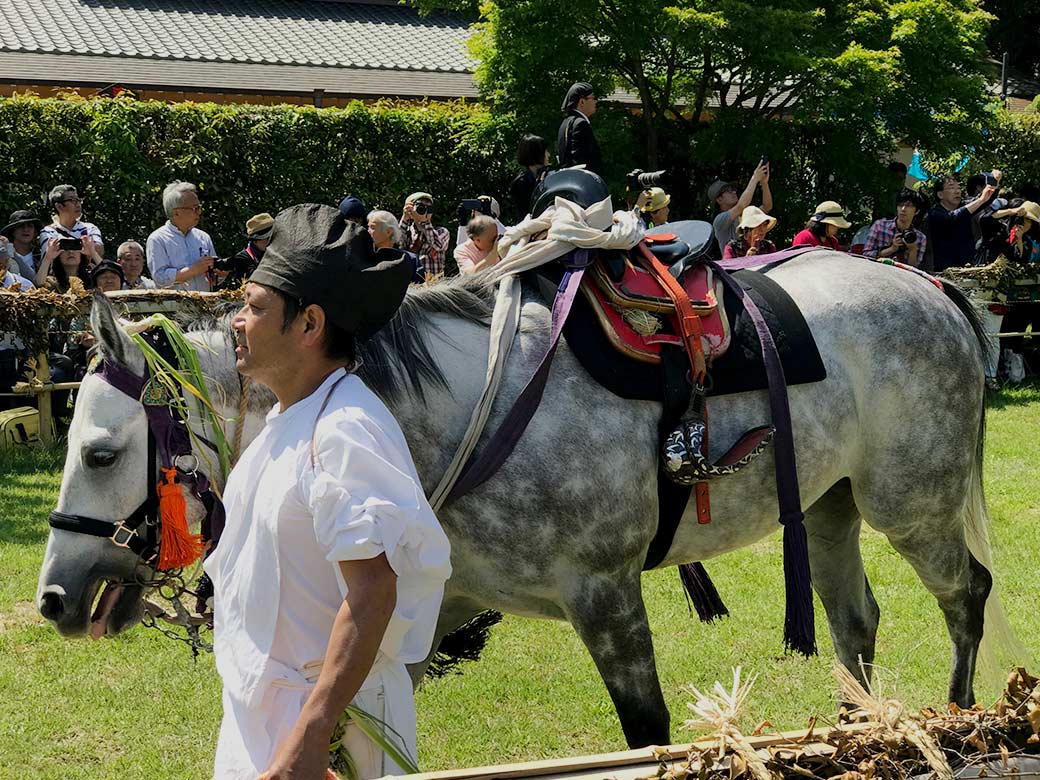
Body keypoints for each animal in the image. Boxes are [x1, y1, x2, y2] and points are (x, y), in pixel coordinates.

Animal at [37, 250, 1021, 749]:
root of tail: (934, 287)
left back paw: (961, 719)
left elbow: (647, 733)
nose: (53, 597)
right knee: (857, 623)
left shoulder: (605, 595)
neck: (434, 421)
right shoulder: (434, 604)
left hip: (914, 501)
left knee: (966, 595)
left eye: (100, 451)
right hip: (829, 503)